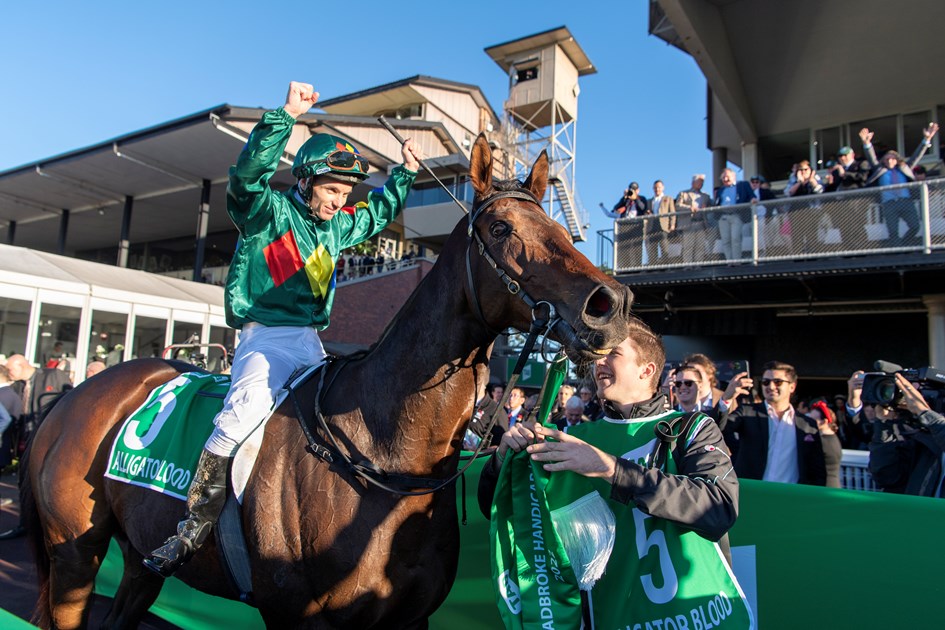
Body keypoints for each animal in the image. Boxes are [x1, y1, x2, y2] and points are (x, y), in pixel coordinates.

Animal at [22, 135, 632, 630]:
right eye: (501, 228)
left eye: (560, 231)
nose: (612, 304)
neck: (379, 453)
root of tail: (71, 397)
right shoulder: (299, 618)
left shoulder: (408, 619)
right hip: (74, 556)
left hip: (139, 561)